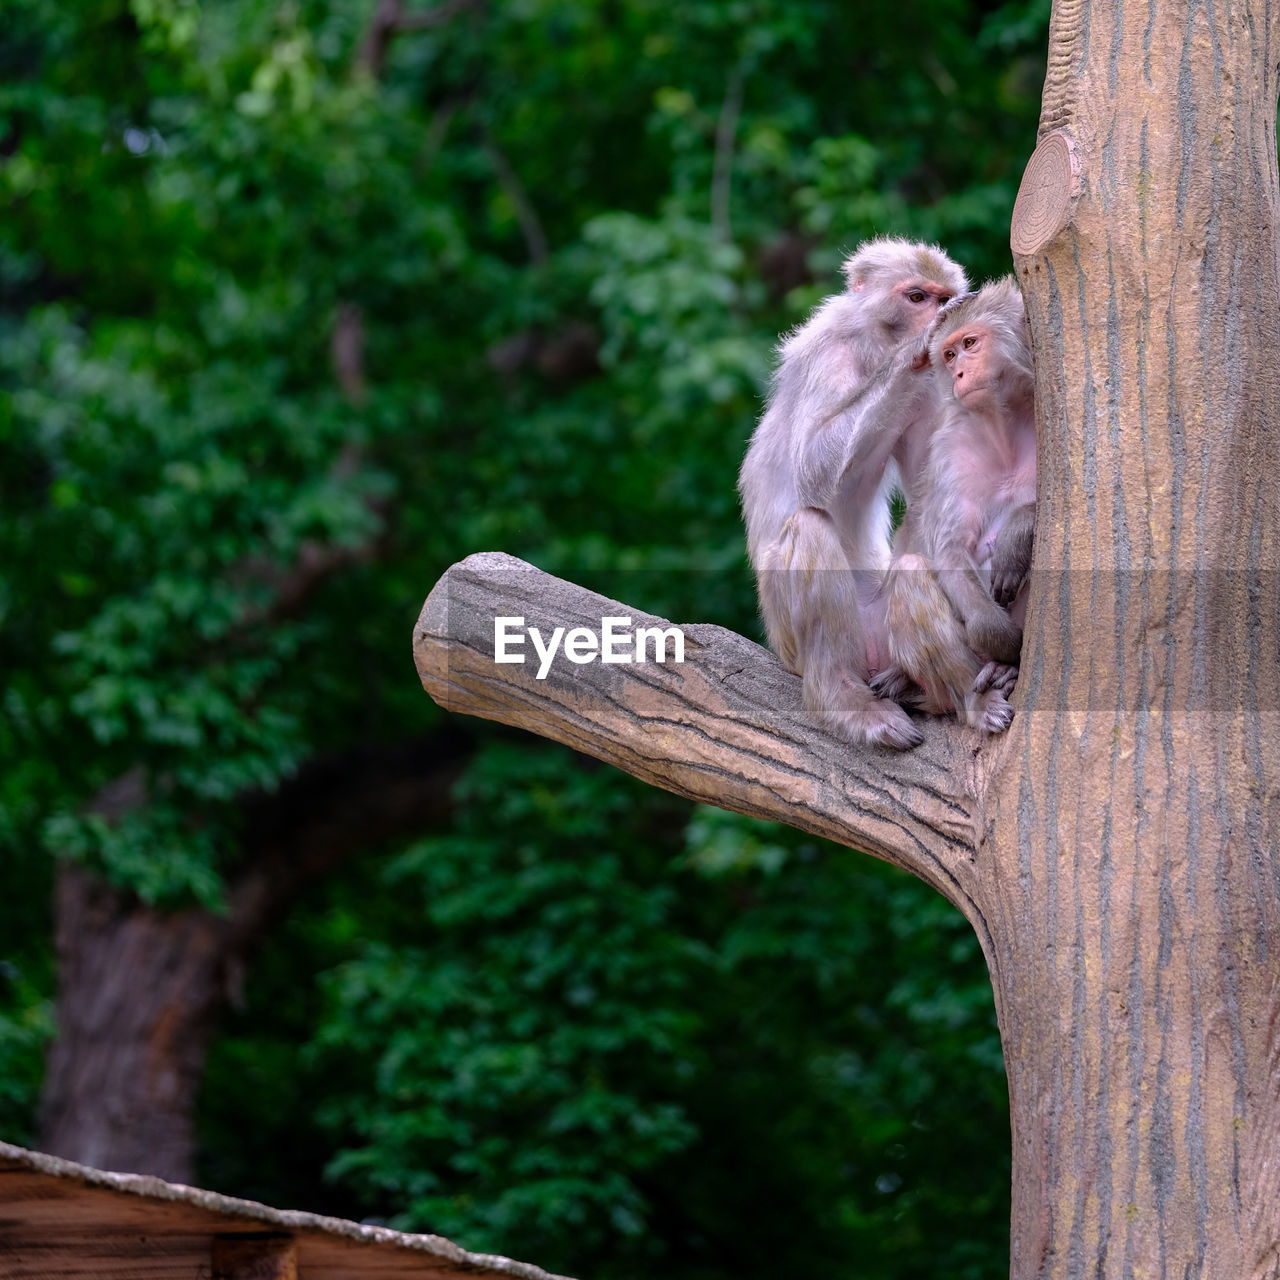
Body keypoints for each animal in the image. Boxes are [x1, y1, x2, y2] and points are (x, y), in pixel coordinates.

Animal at [742, 238, 967, 747]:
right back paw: (842, 697)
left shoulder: (929, 387)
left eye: (943, 298)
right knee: (808, 525)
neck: (876, 346)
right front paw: (913, 348)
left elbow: (931, 497)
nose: (939, 319)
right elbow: (811, 472)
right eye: (917, 298)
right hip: (789, 639)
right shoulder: (829, 356)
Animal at [880, 276, 1039, 732]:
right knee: (912, 571)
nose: (960, 373)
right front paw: (1003, 641)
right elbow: (951, 550)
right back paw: (980, 699)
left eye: (971, 343)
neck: (1003, 428)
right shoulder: (953, 449)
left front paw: (1016, 535)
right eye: (949, 355)